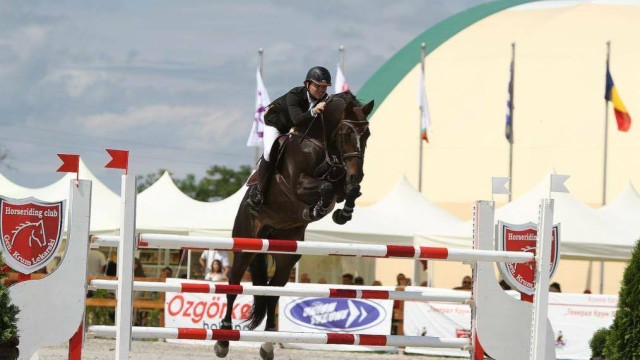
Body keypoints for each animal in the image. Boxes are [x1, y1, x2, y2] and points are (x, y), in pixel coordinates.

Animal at [216, 91, 376, 358]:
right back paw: (223, 341)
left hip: (287, 254)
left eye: (367, 135)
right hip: (245, 246)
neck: (323, 144)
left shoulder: (342, 185)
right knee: (233, 286)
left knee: (272, 293)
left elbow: (349, 190)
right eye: (346, 133)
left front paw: (342, 214)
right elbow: (325, 187)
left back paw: (268, 344)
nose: (359, 173)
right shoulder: (299, 185)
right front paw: (316, 209)